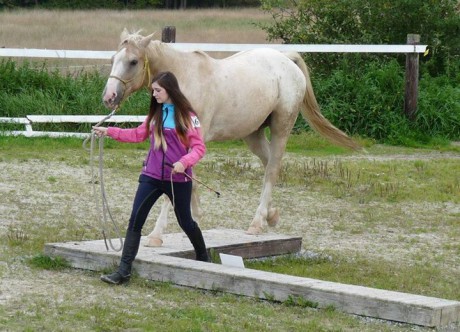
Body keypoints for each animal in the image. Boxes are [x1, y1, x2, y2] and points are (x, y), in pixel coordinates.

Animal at [102, 29, 362, 246]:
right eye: (113, 59)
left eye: (133, 61)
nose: (109, 96)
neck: (183, 82)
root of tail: (287, 60)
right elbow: (190, 179)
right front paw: (196, 216)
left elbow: (176, 182)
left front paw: (156, 235)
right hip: (253, 134)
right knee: (269, 164)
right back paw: (271, 215)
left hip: (281, 126)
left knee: (272, 169)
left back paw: (257, 222)